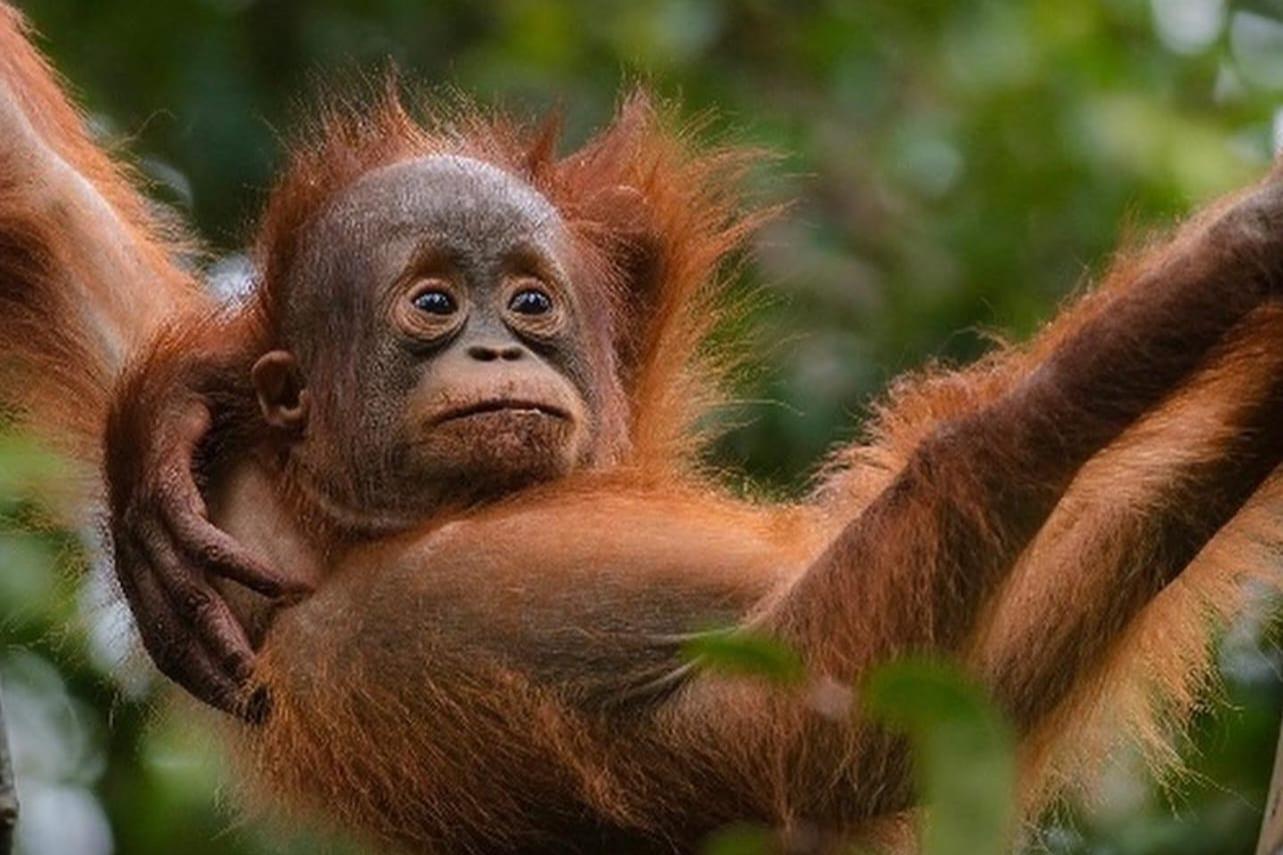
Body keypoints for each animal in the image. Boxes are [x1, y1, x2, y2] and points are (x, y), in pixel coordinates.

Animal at [4, 5, 1283, 852]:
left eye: (529, 302)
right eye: (433, 304)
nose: (498, 350)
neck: (346, 523)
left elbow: (39, 200)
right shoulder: (373, 625)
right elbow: (829, 727)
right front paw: (1222, 263)